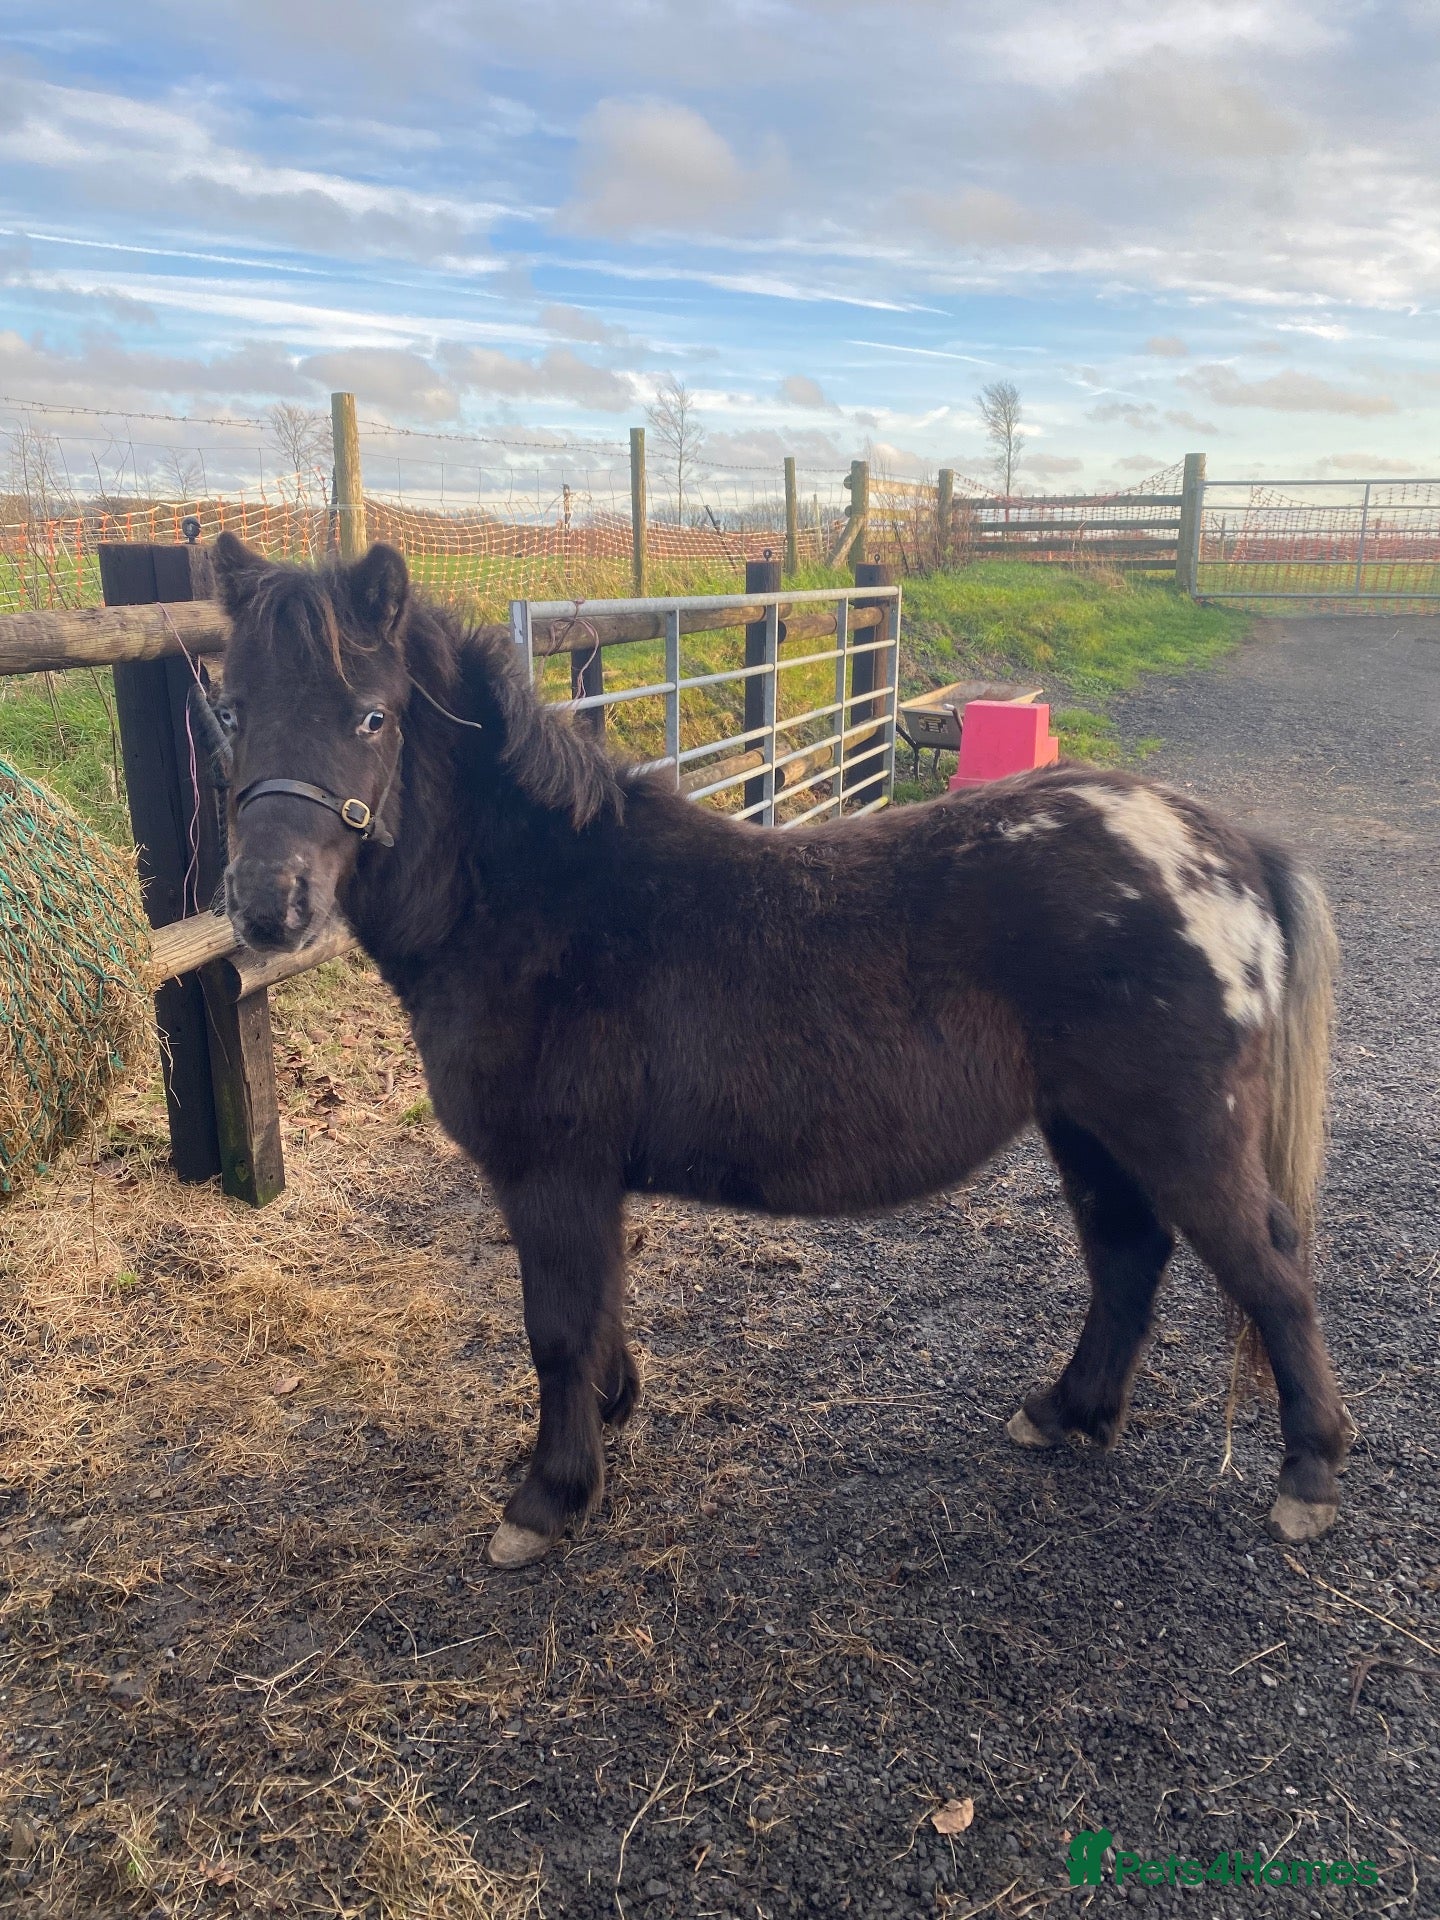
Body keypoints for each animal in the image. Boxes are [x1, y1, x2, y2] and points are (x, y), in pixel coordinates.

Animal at [206, 532, 1351, 1569]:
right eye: (232, 713)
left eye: (372, 715)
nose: (266, 905)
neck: (539, 902)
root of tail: (1230, 852)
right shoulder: (583, 1183)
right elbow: (598, 1311)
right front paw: (612, 1411)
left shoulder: (550, 1174)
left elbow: (557, 1329)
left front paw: (547, 1497)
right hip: (1089, 1127)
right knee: (1127, 1257)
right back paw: (1067, 1412)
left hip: (1180, 1131)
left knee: (1269, 1272)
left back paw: (1306, 1477)